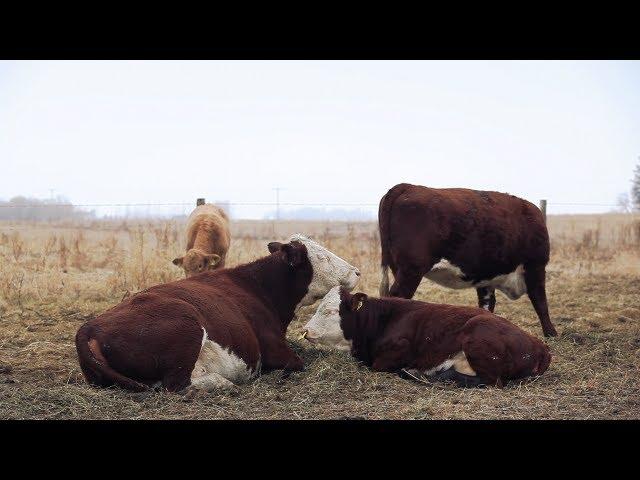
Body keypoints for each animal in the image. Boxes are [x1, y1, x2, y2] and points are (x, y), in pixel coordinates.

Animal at [76, 233, 360, 394]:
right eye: (322, 257)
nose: (357, 272)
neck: (260, 289)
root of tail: (89, 327)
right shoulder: (276, 351)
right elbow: (299, 362)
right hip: (187, 327)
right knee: (176, 385)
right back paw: (223, 384)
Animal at [302, 286, 552, 388]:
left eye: (330, 311)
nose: (304, 330)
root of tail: (542, 347)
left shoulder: (398, 350)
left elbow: (375, 366)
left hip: (477, 339)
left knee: (490, 382)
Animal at [380, 184, 556, 338]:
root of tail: (408, 186)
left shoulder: (486, 277)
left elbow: (487, 305)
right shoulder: (536, 266)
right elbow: (540, 301)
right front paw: (551, 333)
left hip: (398, 268)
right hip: (412, 270)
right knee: (397, 297)